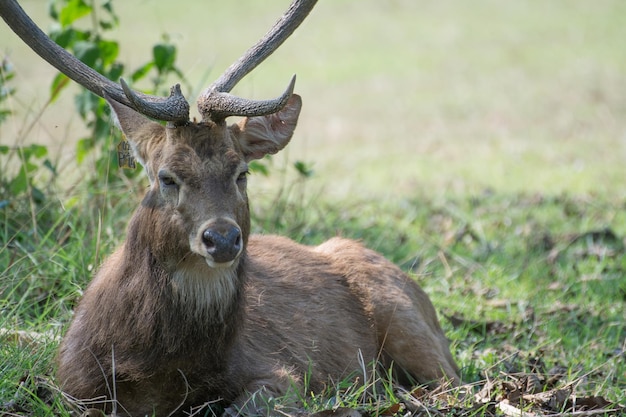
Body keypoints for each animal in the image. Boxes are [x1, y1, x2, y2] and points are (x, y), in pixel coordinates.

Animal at [0, 0, 458, 416]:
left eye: (242, 172)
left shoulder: (283, 373)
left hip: (407, 320)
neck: (155, 370)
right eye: (167, 177)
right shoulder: (73, 384)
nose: (221, 238)